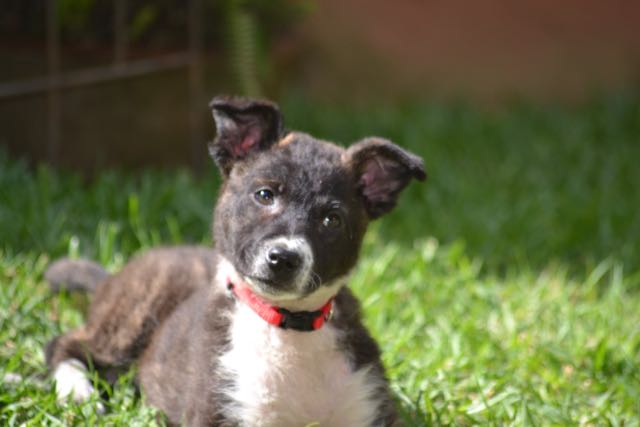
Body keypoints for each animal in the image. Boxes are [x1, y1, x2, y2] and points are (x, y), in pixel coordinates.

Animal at [45, 96, 426, 426]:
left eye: (332, 220)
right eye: (265, 195)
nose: (283, 258)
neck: (286, 326)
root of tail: (112, 276)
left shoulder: (369, 403)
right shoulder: (222, 407)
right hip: (129, 321)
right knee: (66, 345)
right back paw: (78, 392)